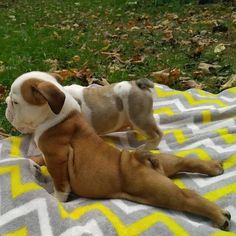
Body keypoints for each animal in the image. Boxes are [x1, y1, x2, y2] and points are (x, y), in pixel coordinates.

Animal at [5, 72, 230, 230]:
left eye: (15, 102)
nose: (6, 104)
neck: (59, 115)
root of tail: (140, 158)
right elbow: (38, 157)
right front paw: (33, 161)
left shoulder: (56, 157)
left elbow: (60, 182)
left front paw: (58, 198)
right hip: (166, 162)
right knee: (183, 162)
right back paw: (213, 167)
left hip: (159, 187)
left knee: (186, 197)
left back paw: (219, 215)